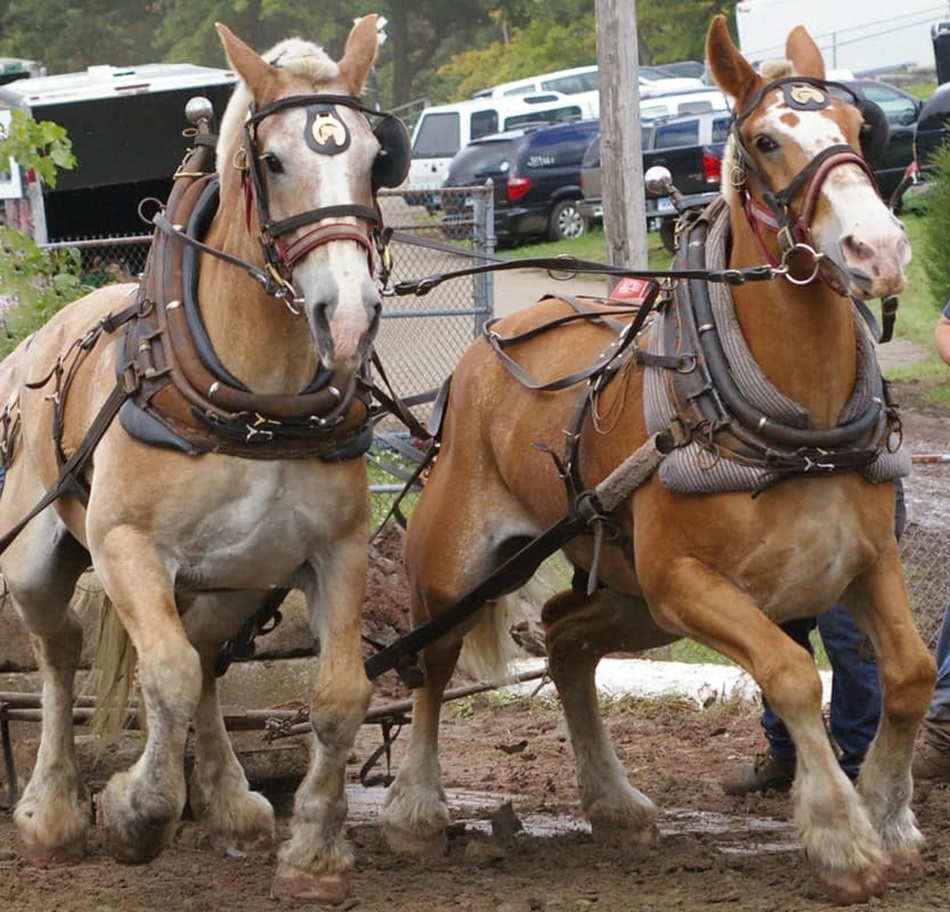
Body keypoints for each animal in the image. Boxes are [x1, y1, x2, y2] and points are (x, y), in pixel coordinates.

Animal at [0, 16, 409, 904]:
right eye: (274, 161)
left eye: (375, 156)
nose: (349, 315)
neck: (256, 402)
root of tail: (39, 339)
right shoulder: (126, 547)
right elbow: (168, 676)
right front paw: (133, 814)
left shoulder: (339, 551)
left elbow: (337, 693)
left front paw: (313, 854)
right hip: (38, 560)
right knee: (62, 656)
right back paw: (53, 811)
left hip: (236, 582)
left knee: (212, 655)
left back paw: (229, 799)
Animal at [381, 16, 936, 905]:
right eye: (765, 139)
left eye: (860, 129)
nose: (878, 248)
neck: (797, 423)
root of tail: (481, 354)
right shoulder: (687, 584)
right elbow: (790, 671)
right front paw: (843, 838)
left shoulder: (867, 558)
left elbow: (910, 674)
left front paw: (889, 818)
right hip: (458, 570)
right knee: (430, 664)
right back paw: (416, 812)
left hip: (629, 594)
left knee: (567, 639)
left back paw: (614, 801)